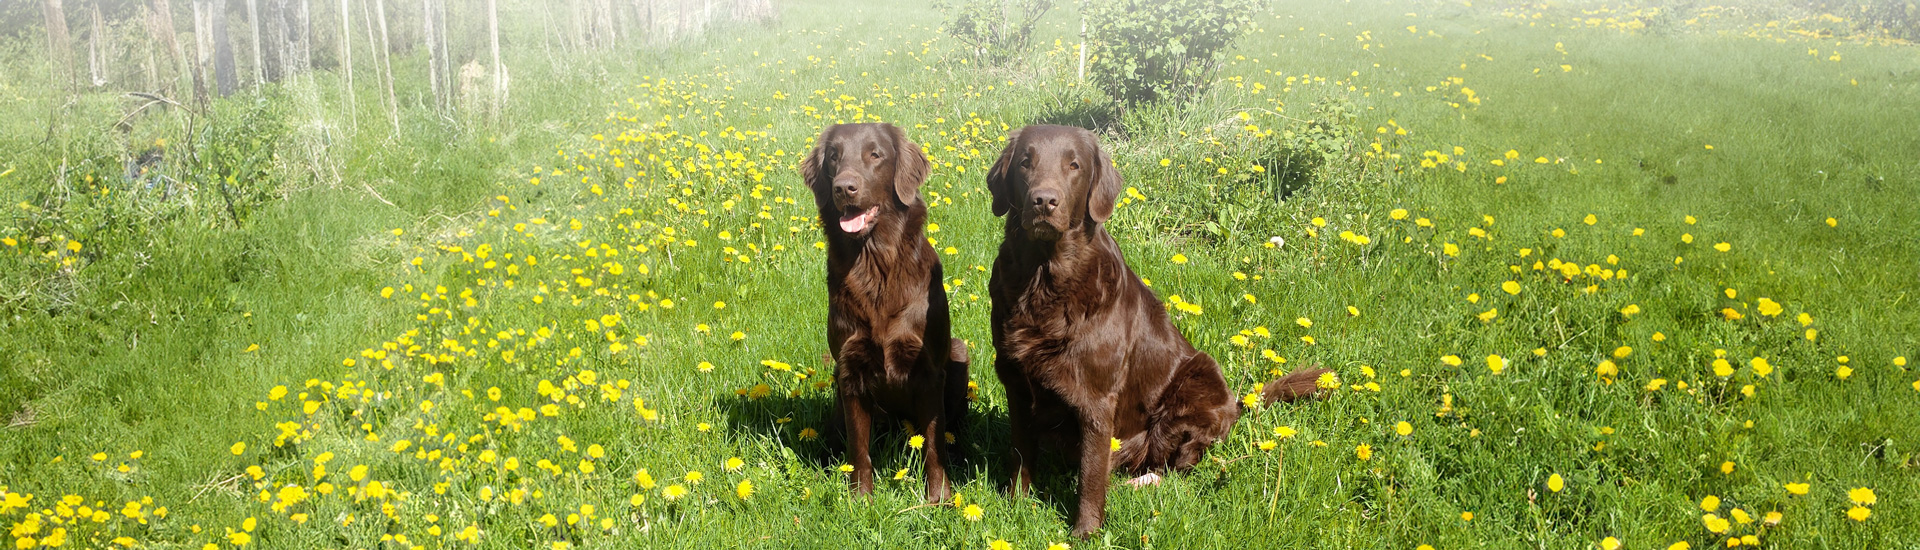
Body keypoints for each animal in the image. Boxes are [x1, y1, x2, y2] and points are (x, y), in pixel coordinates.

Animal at [798, 123, 967, 503]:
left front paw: (939, 497)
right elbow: (859, 447)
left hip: (959, 351)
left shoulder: (929, 370)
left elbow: (933, 443)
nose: (843, 187)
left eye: (875, 155)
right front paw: (860, 498)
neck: (875, 265)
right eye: (834, 157)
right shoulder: (850, 370)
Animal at [983, 125, 1328, 538]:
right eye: (1025, 162)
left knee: (1174, 468)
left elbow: (1091, 474)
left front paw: (1085, 532)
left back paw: (1139, 483)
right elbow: (1021, 452)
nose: (1044, 201)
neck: (1044, 279)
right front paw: (1015, 504)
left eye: (1074, 165)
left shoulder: (1097, 401)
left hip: (1194, 385)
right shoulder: (1016, 382)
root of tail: (1237, 404)